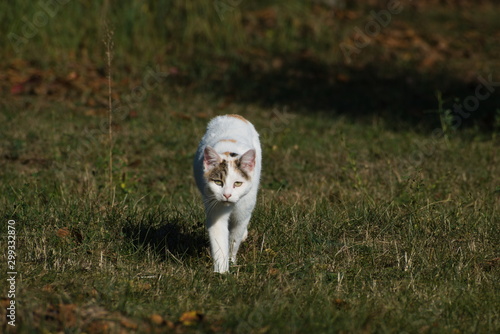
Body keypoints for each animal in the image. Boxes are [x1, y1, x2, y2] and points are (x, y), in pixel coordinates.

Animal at [193, 115, 262, 274]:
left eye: (238, 183)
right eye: (218, 182)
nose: (227, 195)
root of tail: (233, 115)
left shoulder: (243, 212)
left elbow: (234, 239)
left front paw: (231, 260)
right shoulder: (215, 208)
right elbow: (219, 240)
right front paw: (221, 271)